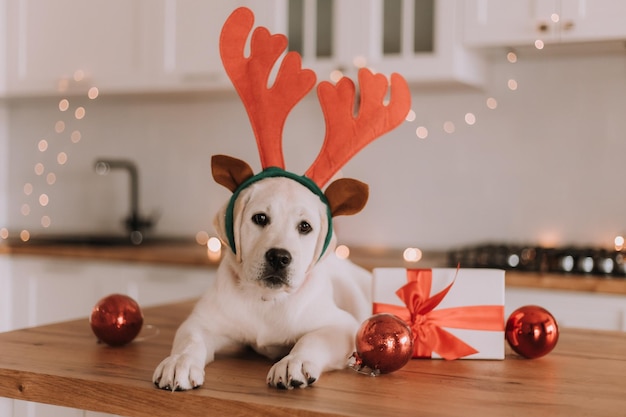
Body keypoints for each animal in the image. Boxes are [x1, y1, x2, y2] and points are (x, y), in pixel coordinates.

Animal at [152, 162, 370, 386]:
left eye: (305, 226)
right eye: (260, 218)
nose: (279, 257)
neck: (267, 300)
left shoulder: (341, 326)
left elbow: (313, 339)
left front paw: (295, 362)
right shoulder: (201, 322)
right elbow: (191, 340)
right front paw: (179, 362)